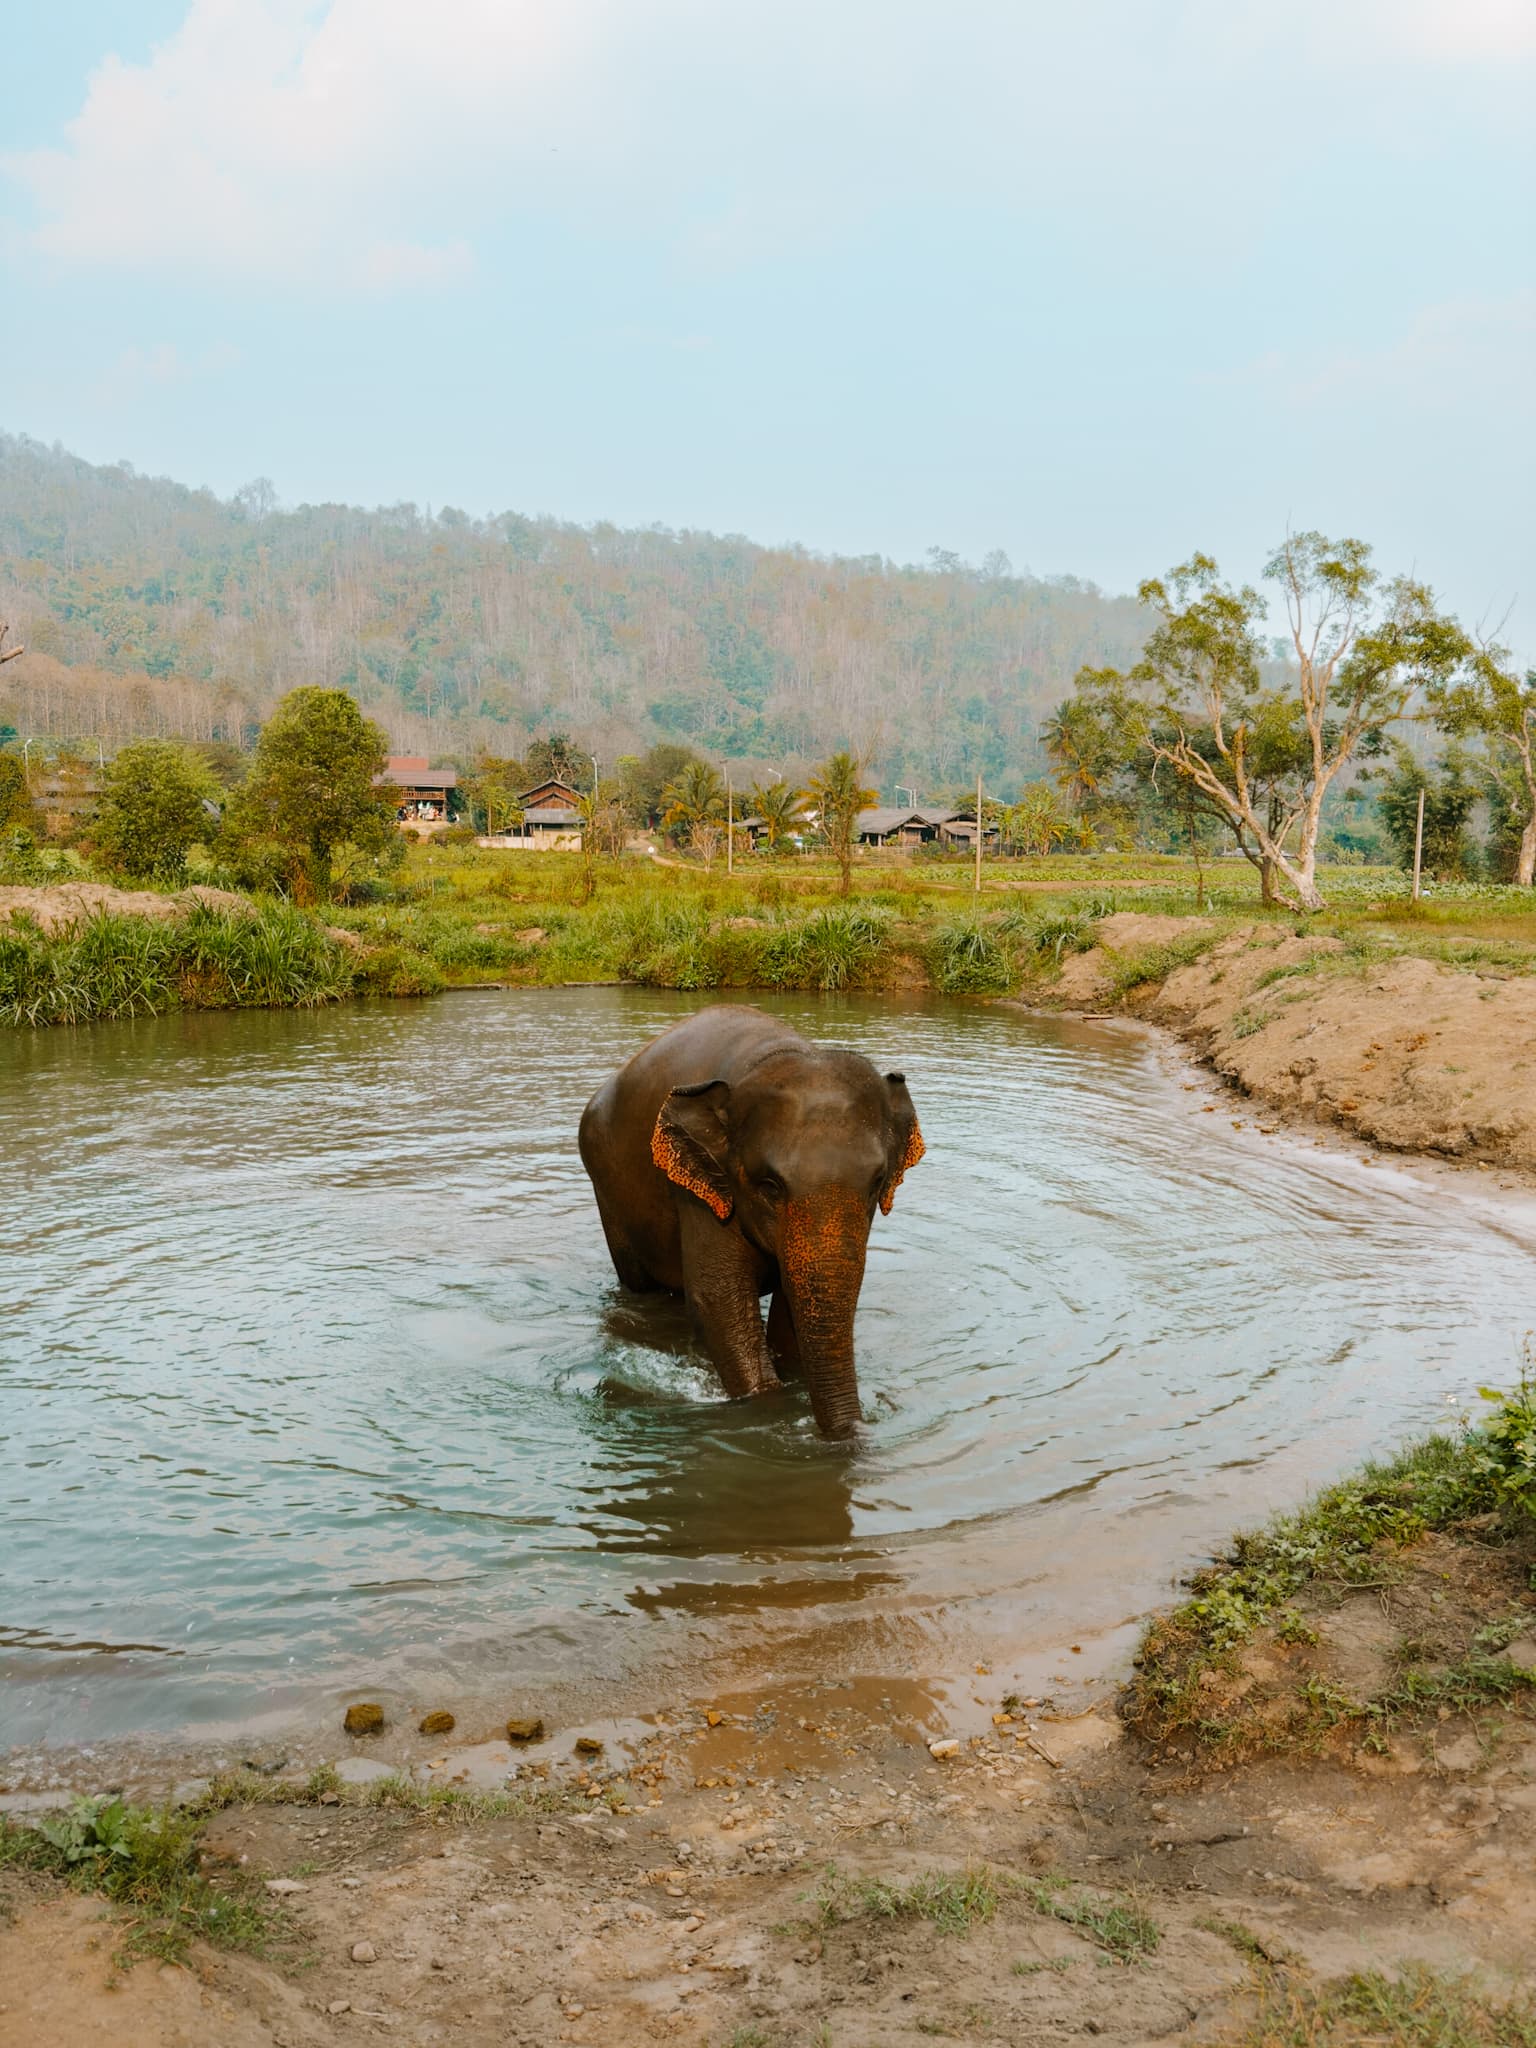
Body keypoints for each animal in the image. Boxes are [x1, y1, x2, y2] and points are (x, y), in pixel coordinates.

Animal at [581, 999, 925, 1433]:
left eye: (877, 1181)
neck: (774, 1055)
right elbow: (718, 1299)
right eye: (770, 1185)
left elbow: (789, 1309)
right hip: (607, 1190)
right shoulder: (700, 1187)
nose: (856, 1430)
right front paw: (769, 1410)